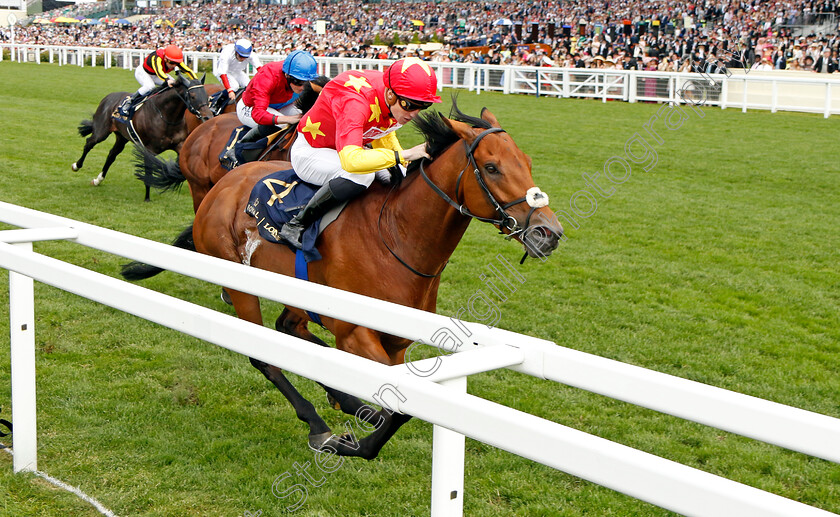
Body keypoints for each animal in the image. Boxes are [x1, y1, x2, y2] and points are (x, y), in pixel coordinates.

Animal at [72, 71, 215, 201]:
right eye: (192, 96)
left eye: (206, 95)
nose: (208, 117)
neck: (166, 116)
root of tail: (108, 97)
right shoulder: (149, 150)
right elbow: (148, 171)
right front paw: (147, 197)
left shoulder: (179, 144)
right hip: (101, 131)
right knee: (89, 142)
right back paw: (77, 165)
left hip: (122, 137)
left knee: (112, 154)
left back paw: (98, 180)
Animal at [188, 103, 564, 458]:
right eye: (491, 167)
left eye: (527, 162)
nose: (549, 233)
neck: (397, 235)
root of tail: (223, 186)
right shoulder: (356, 333)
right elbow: (400, 408)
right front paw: (352, 445)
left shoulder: (396, 342)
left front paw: (359, 414)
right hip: (238, 282)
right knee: (263, 354)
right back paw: (318, 424)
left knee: (290, 330)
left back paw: (345, 400)